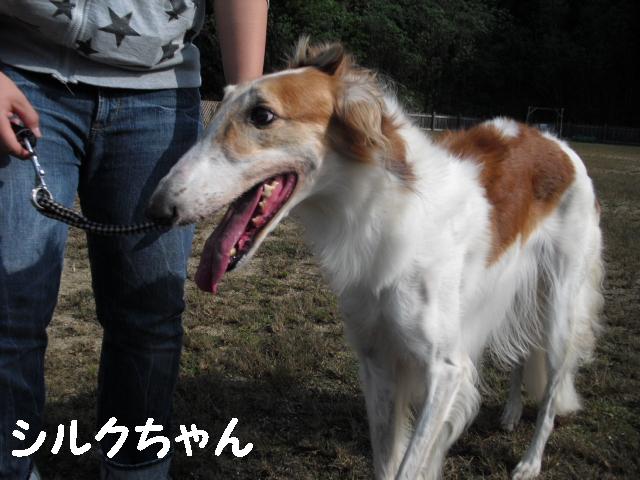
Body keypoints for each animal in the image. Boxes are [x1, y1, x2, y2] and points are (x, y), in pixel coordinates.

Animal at [147, 39, 604, 479]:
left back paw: (530, 461)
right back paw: (510, 414)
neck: (381, 212)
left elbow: (410, 464)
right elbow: (387, 462)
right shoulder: (377, 361)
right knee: (525, 352)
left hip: (560, 309)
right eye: (221, 104)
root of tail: (555, 141)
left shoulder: (446, 369)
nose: (156, 210)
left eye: (262, 115)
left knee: (551, 392)